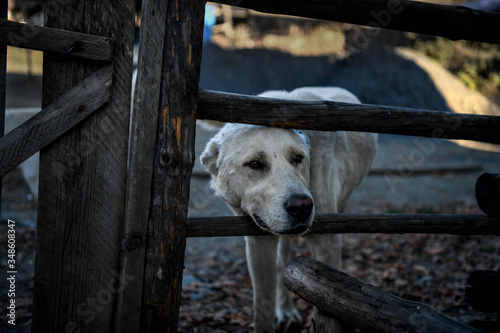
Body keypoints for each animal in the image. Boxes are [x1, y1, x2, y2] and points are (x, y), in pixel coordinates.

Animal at [201, 87, 376, 330]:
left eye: (298, 158)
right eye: (254, 164)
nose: (302, 207)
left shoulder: (328, 243)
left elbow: (325, 300)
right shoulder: (258, 243)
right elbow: (262, 305)